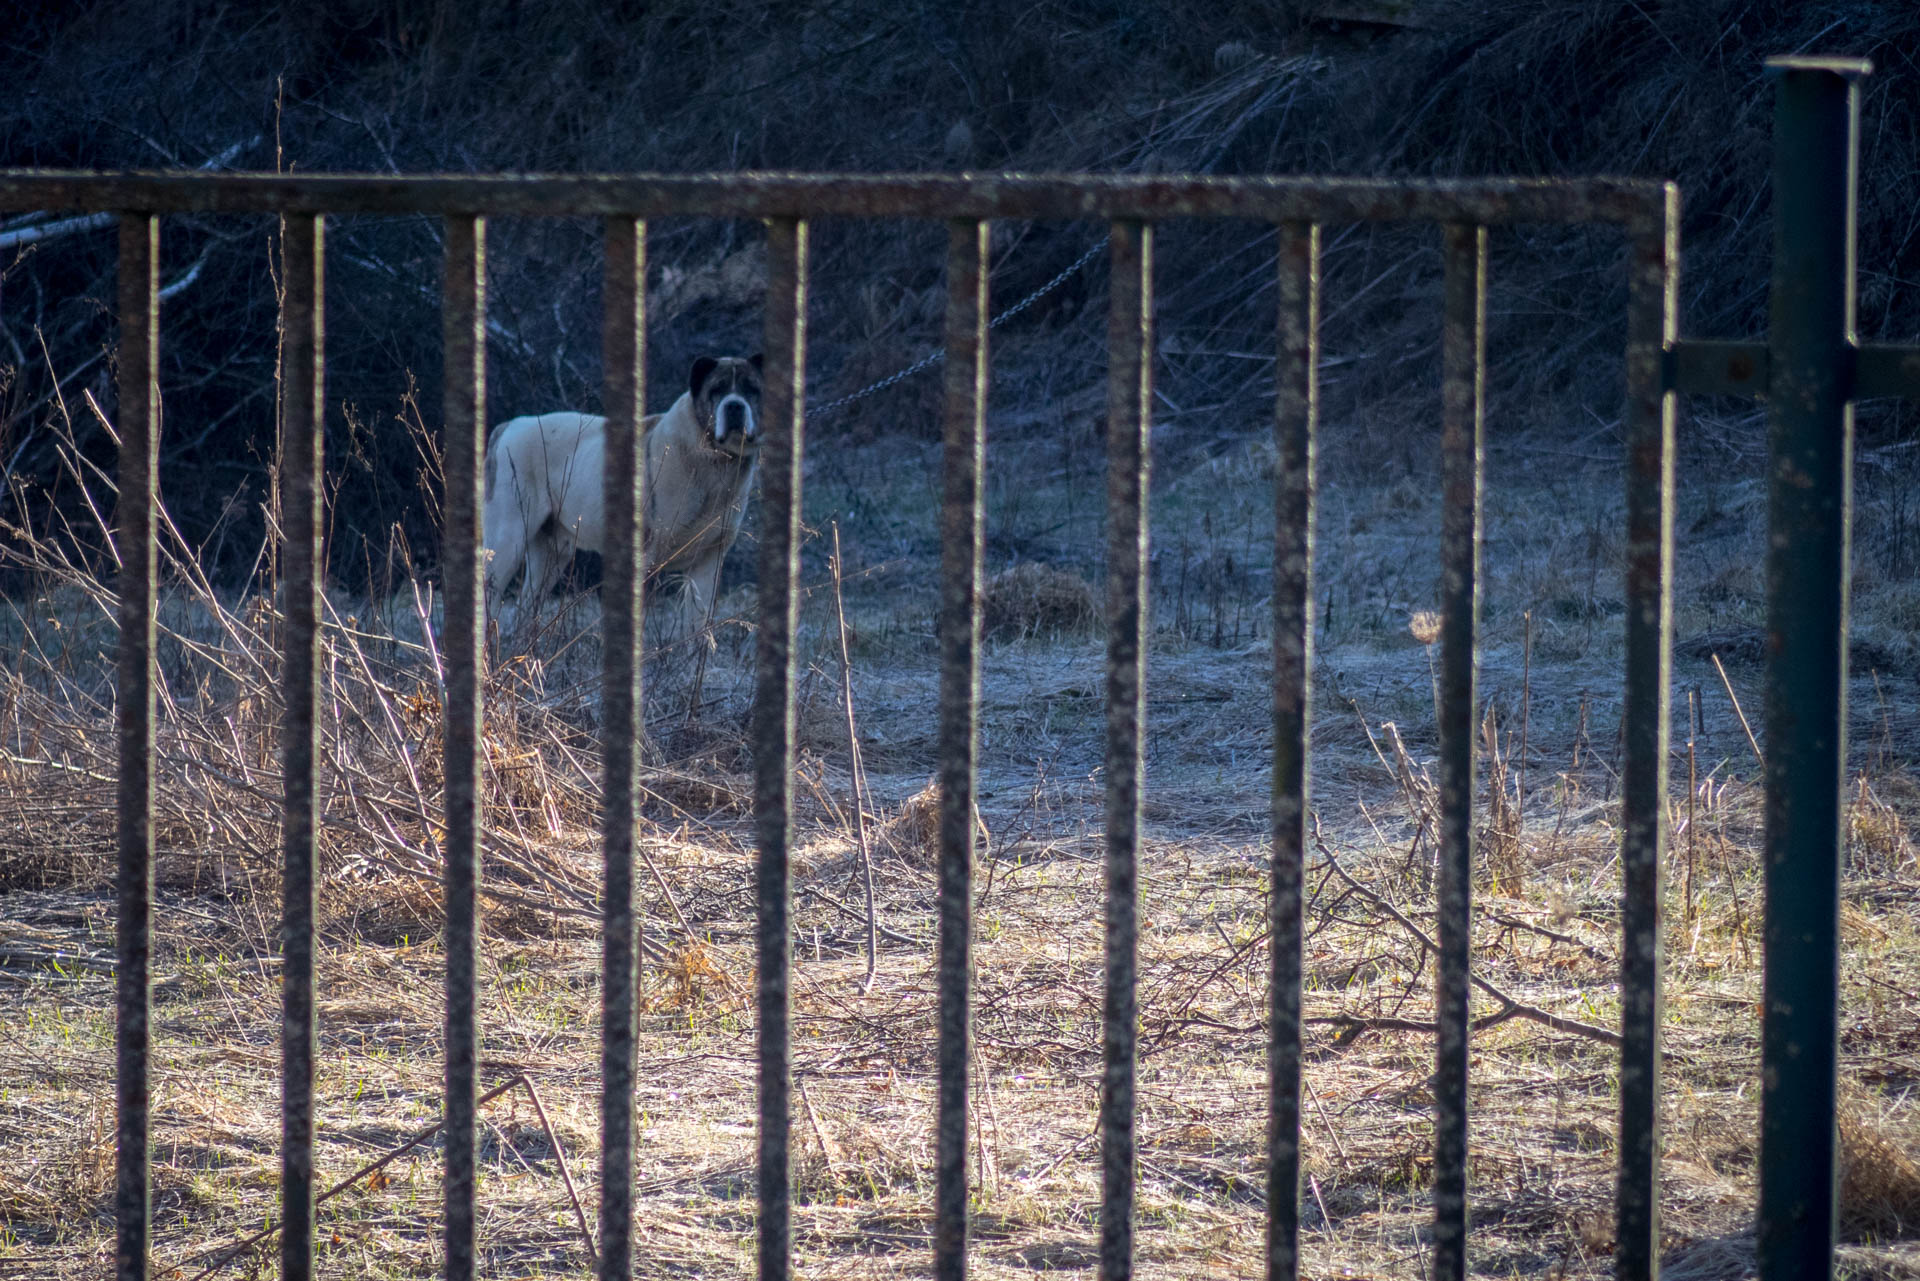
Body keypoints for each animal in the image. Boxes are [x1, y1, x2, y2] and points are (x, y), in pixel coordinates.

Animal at [480, 353, 764, 641]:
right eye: (717, 389)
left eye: (751, 389)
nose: (735, 406)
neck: (712, 460)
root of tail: (511, 425)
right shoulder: (643, 557)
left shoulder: (708, 562)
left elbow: (698, 624)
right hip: (509, 538)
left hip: (552, 552)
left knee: (528, 603)